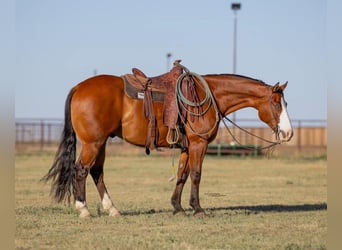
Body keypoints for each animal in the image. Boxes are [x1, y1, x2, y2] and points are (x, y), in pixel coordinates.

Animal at [42, 60, 294, 217]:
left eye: (285, 103)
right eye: (275, 103)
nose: (288, 133)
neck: (208, 95)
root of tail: (78, 87)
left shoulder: (187, 147)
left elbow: (182, 175)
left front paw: (178, 208)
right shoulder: (199, 144)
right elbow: (196, 175)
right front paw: (198, 209)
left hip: (101, 142)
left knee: (97, 172)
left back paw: (112, 209)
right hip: (92, 143)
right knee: (82, 170)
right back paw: (84, 209)